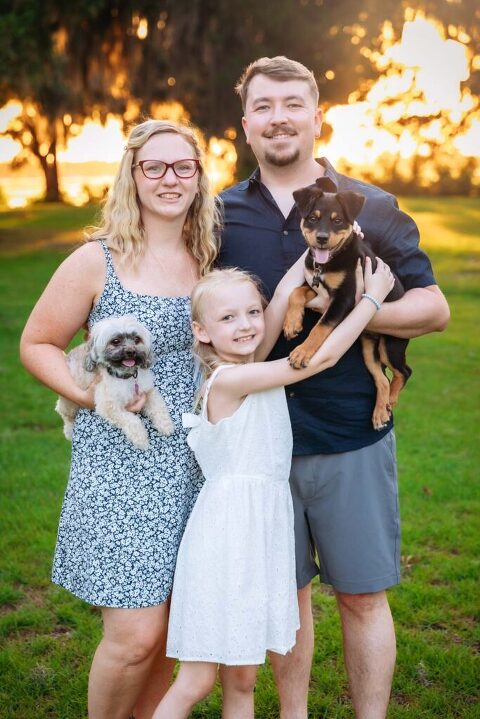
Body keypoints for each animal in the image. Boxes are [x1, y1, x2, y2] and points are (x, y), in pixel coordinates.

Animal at [55, 316, 174, 450]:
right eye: (115, 341)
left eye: (137, 339)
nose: (131, 351)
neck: (125, 378)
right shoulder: (109, 407)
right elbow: (132, 420)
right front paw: (141, 439)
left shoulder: (148, 391)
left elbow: (158, 407)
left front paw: (166, 425)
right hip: (69, 403)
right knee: (63, 413)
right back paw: (69, 430)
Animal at [284, 178, 412, 430]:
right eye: (312, 218)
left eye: (337, 220)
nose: (322, 238)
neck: (326, 264)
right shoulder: (314, 285)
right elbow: (295, 292)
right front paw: (292, 324)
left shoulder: (344, 299)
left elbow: (320, 327)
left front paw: (302, 353)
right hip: (368, 348)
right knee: (382, 379)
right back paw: (380, 414)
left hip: (391, 345)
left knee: (404, 371)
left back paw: (391, 400)